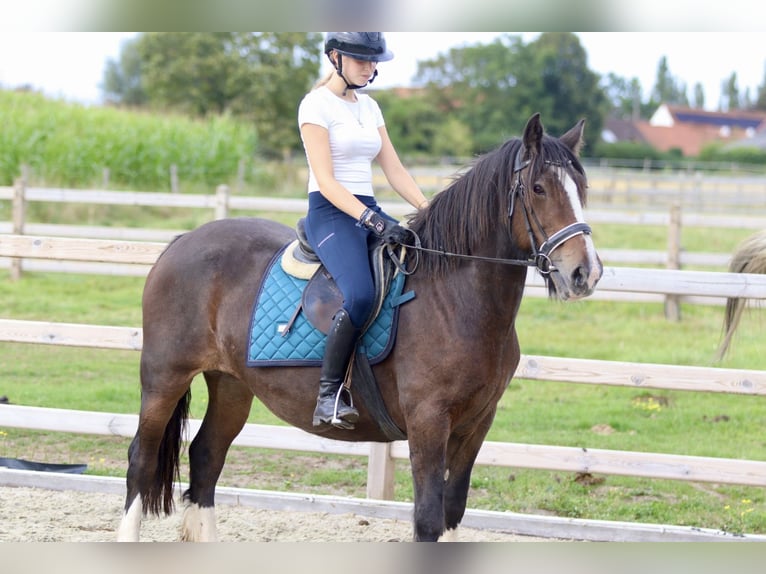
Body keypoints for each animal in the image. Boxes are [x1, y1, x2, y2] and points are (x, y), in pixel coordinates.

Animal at [117, 115, 604, 544]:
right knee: (141, 460)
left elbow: (453, 510)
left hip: (232, 384)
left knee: (206, 458)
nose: (585, 273)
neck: (455, 300)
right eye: (538, 188)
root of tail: (183, 240)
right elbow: (427, 518)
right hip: (164, 378)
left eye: (581, 189)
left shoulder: (477, 423)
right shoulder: (429, 423)